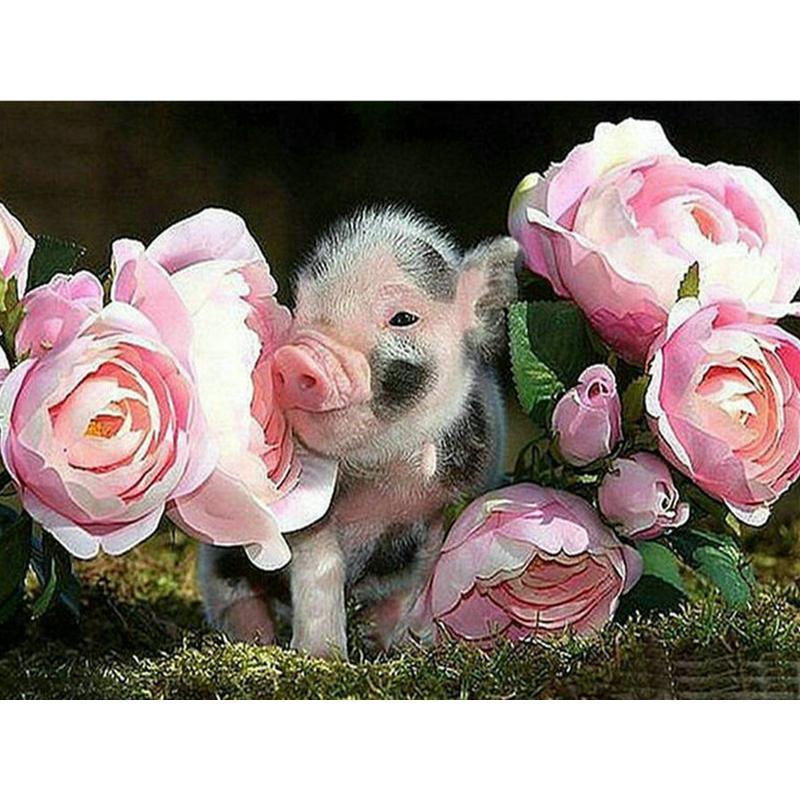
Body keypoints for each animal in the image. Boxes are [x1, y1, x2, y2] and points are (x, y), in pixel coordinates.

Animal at [197, 206, 520, 658]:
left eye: (403, 318)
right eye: (301, 309)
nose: (297, 358)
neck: (383, 477)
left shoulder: (442, 508)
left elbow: (419, 579)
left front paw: (399, 646)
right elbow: (320, 569)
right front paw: (322, 656)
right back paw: (255, 639)